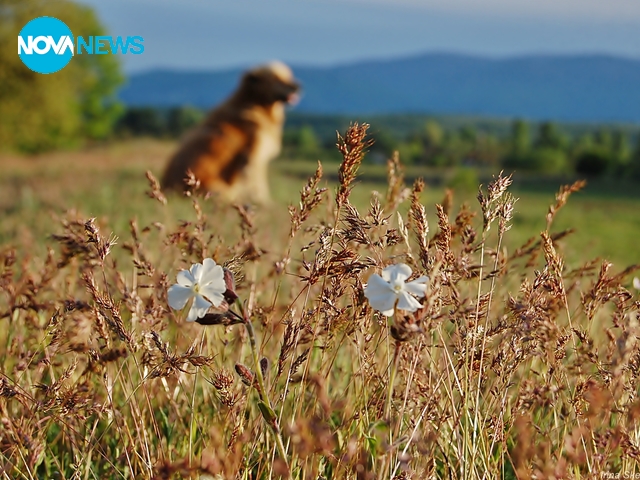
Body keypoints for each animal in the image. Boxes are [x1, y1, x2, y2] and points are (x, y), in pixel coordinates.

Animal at [160, 61, 300, 202]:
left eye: (289, 75)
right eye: (276, 78)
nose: (298, 86)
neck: (254, 102)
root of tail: (166, 189)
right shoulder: (254, 157)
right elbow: (259, 187)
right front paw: (264, 203)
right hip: (220, 189)